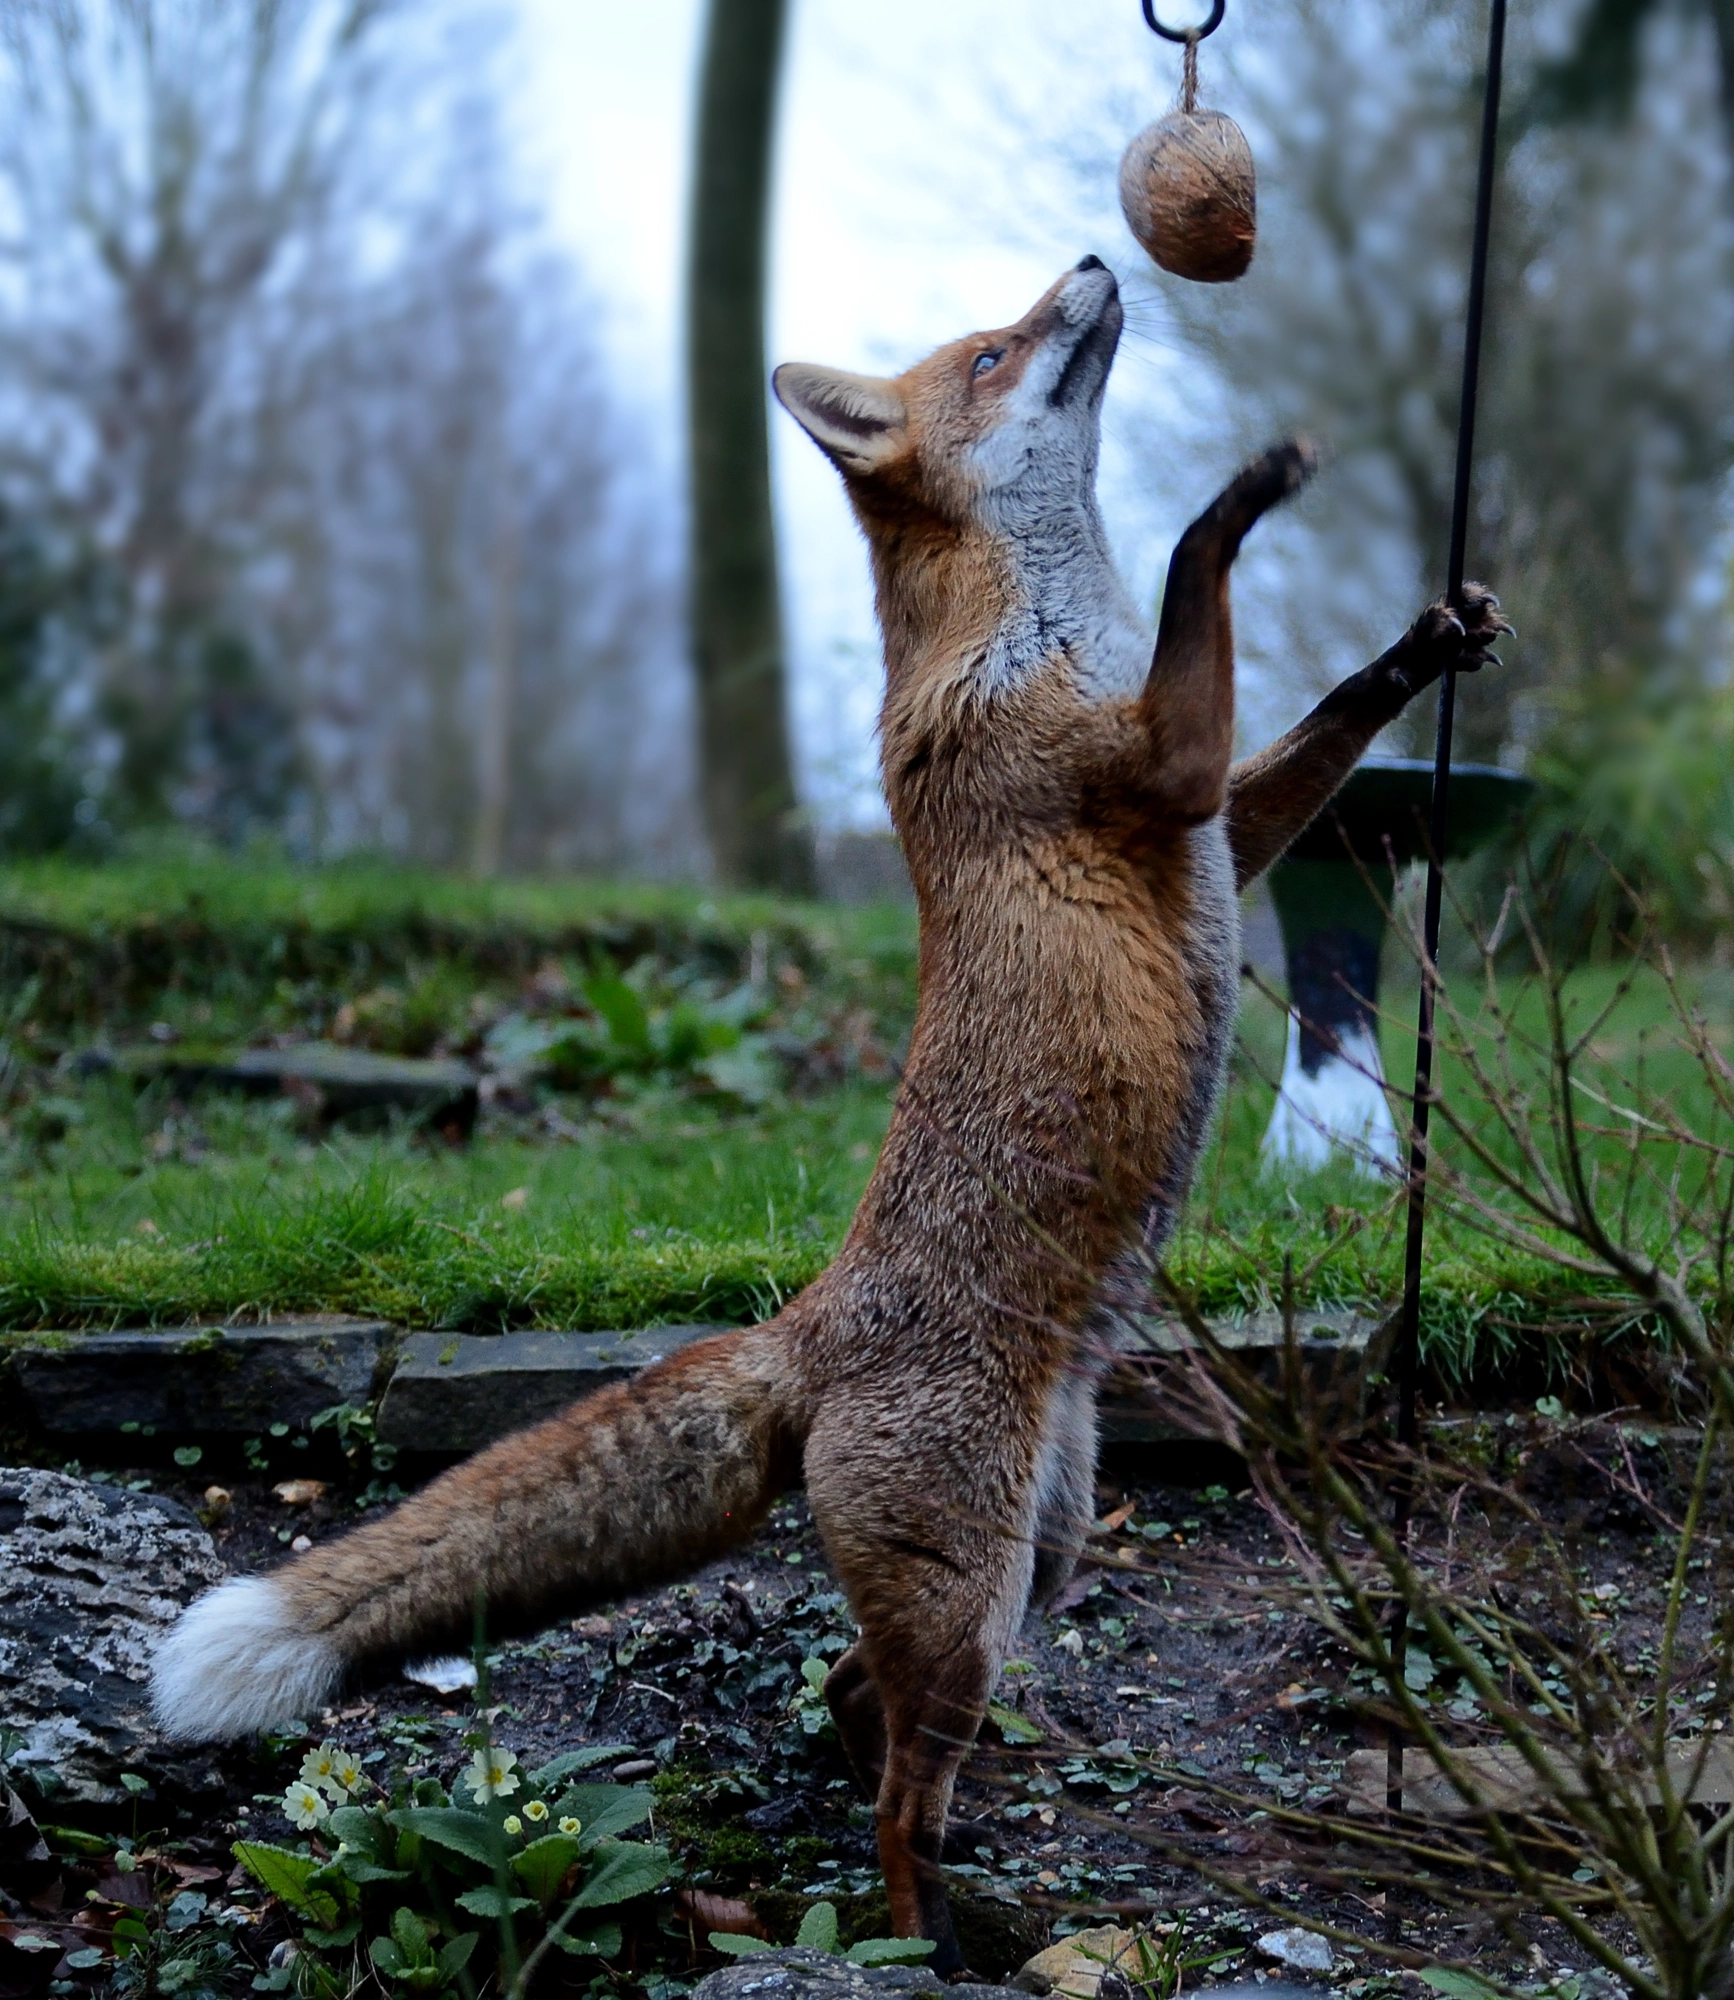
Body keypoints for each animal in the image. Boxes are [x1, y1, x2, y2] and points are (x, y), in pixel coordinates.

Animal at [152, 256, 1506, 1973]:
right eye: (992, 352)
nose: (1096, 263)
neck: (1035, 622)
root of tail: (807, 1329)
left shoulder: (1221, 818)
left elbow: (1324, 725)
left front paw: (1423, 643)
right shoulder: (1154, 768)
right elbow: (1201, 568)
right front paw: (1241, 490)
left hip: (1044, 1556)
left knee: (864, 1707)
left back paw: (957, 1872)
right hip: (973, 1596)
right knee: (889, 1800)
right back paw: (930, 1940)